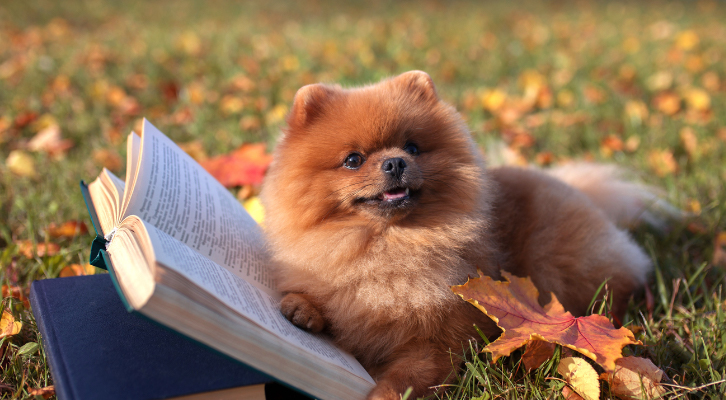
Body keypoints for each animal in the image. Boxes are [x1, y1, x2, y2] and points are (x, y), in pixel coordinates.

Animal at [260, 72, 660, 400]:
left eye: (412, 147)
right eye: (353, 160)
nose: (395, 162)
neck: (387, 245)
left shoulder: (439, 339)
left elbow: (408, 375)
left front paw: (382, 394)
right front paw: (303, 308)